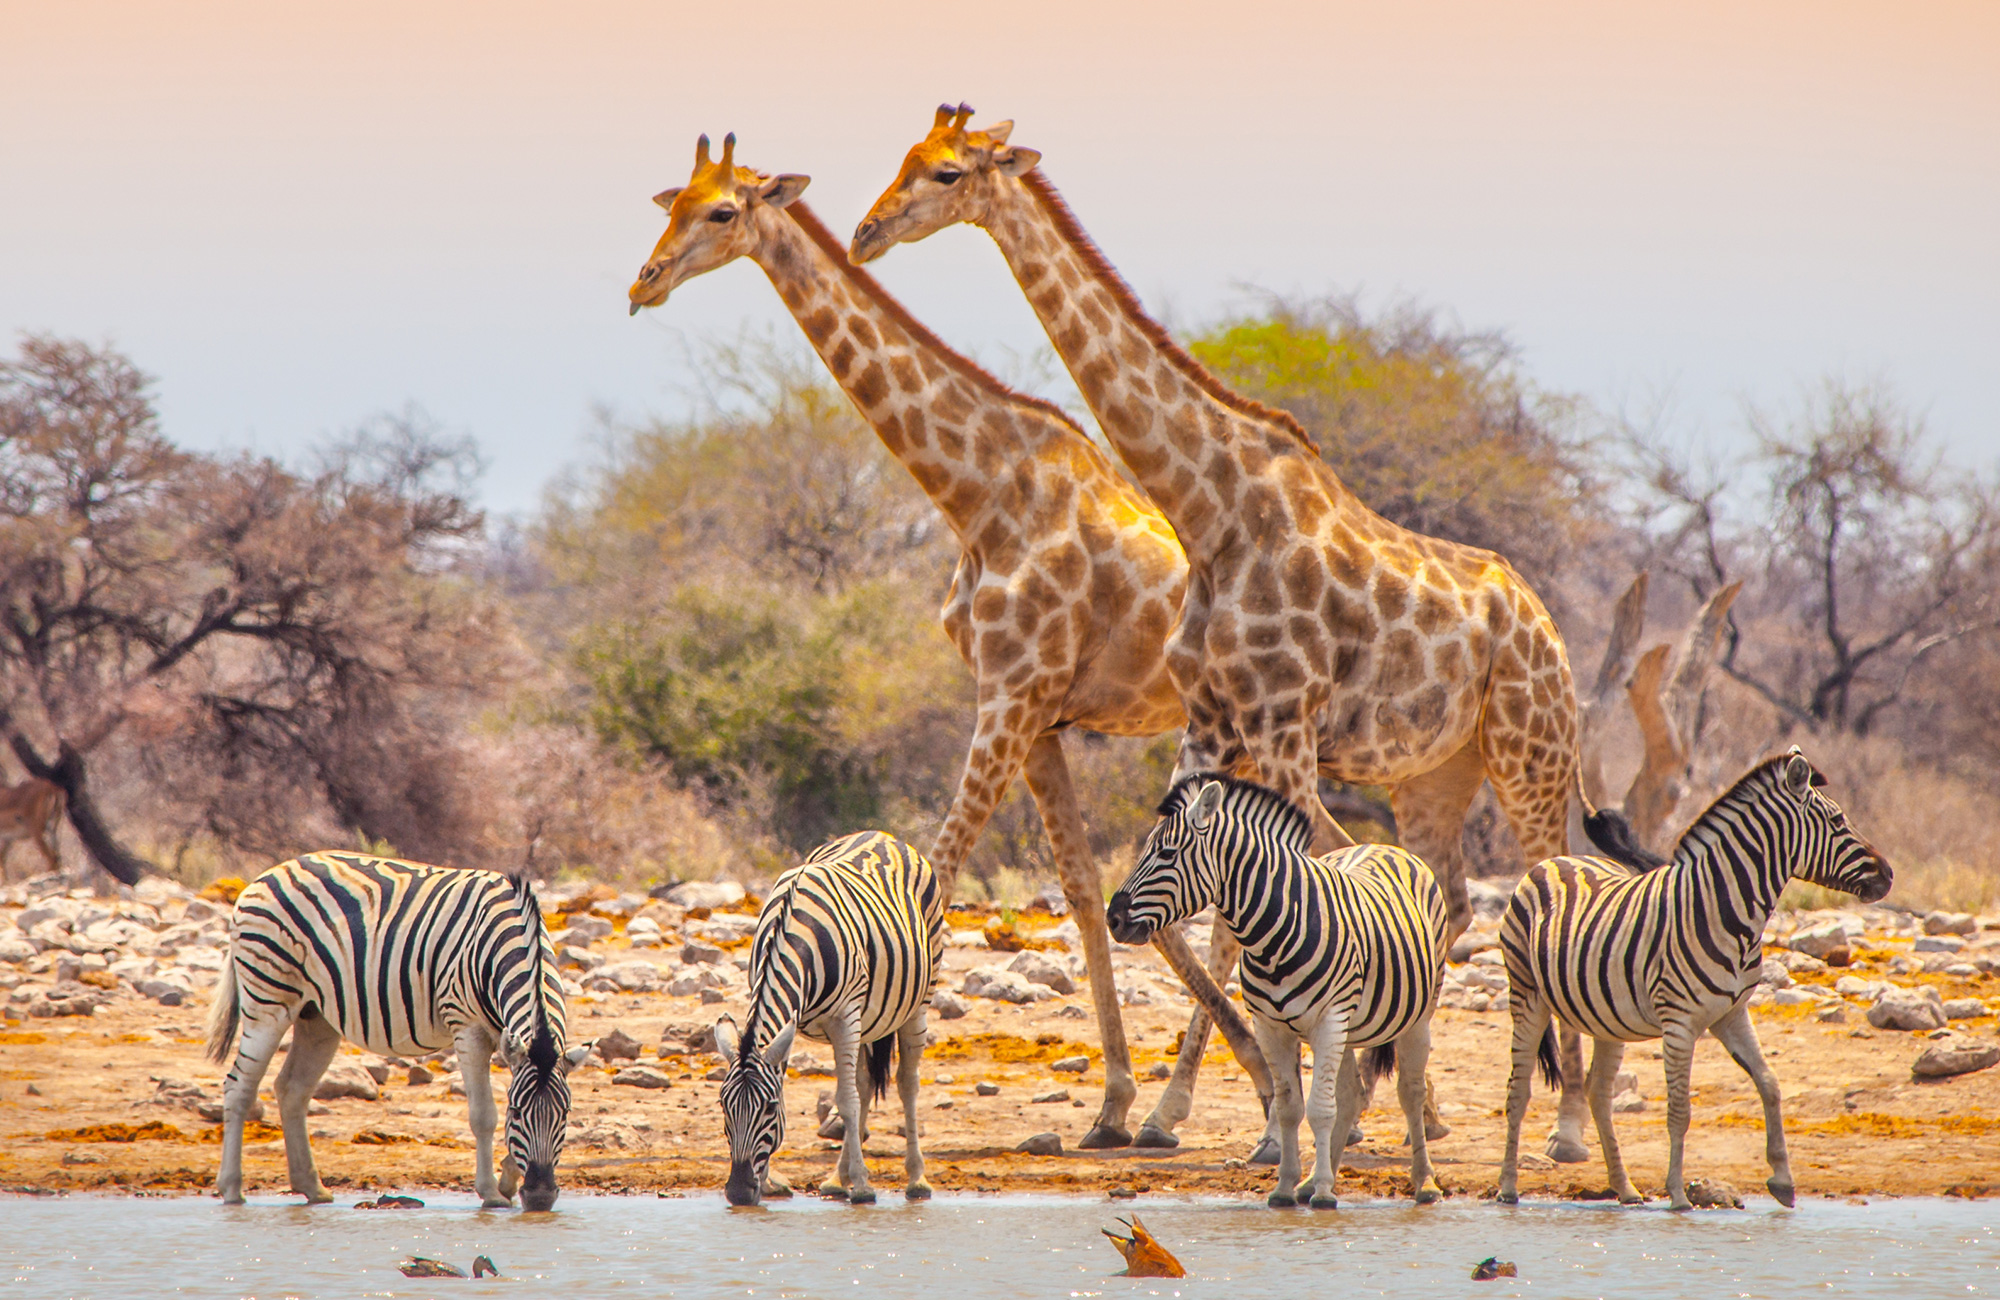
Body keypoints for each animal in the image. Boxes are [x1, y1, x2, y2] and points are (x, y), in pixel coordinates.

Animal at [205, 851, 589, 1209]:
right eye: (518, 1113)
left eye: (565, 1114)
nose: (540, 1197)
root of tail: (270, 873)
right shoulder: (468, 1026)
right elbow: (483, 1115)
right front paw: (492, 1193)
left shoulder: (509, 1039)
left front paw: (508, 1182)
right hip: (267, 999)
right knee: (240, 1087)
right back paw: (232, 1189)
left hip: (317, 1016)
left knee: (292, 1089)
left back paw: (312, 1188)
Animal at [714, 829, 945, 1207]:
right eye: (724, 1106)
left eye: (770, 1108)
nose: (738, 1193)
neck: (793, 932)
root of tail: (882, 835)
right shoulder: (790, 1018)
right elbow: (844, 1093)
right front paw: (772, 1182)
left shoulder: (844, 1016)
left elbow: (846, 1101)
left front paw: (863, 1186)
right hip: (868, 1018)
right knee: (864, 1084)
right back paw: (838, 1179)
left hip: (918, 999)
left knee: (906, 1083)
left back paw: (916, 1179)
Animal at [1106, 774, 1449, 1209]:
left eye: (1167, 853)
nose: (1113, 919)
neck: (1273, 936)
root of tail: (1384, 846)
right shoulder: (1270, 1026)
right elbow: (1290, 1107)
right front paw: (1288, 1188)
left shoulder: (1329, 1019)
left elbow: (1319, 1109)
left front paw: (1323, 1195)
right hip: (1351, 1025)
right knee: (1350, 1094)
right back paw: (1315, 1181)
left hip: (1417, 1014)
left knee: (1409, 1092)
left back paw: (1424, 1184)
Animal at [1497, 747, 1892, 1209]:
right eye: (1837, 821)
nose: (1888, 875)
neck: (1727, 913)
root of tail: (1556, 859)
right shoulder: (1680, 1021)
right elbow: (1680, 1110)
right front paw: (1677, 1195)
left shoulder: (1732, 1013)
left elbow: (1770, 1084)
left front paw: (1782, 1180)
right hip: (1526, 995)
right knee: (1518, 1091)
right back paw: (1507, 1188)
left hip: (1606, 1017)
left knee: (1598, 1094)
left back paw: (1625, 1189)